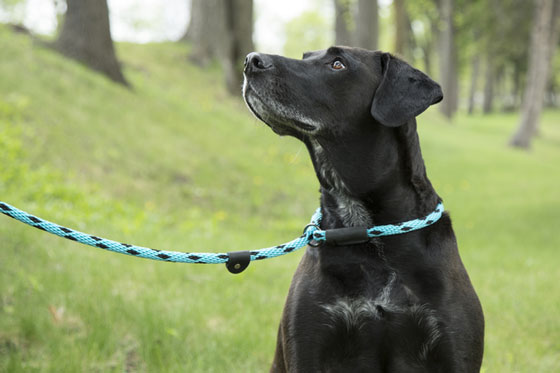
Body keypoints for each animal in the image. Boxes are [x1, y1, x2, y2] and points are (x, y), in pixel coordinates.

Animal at [243, 47, 484, 372]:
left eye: (337, 64)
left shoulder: (455, 349)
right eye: (306, 56)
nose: (250, 60)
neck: (366, 232)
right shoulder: (308, 345)